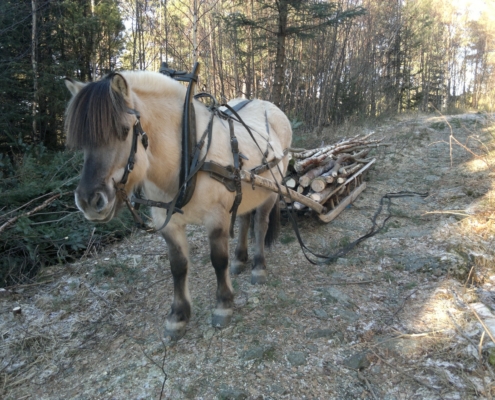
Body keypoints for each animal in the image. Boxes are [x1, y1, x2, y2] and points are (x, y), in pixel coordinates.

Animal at [64, 70, 292, 340]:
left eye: (124, 130)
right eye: (83, 143)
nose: (88, 201)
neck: (190, 154)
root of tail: (269, 106)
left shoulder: (216, 218)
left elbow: (218, 260)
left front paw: (223, 305)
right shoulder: (168, 222)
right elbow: (178, 266)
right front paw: (178, 316)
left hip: (272, 191)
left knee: (260, 224)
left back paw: (258, 267)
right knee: (245, 218)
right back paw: (240, 259)